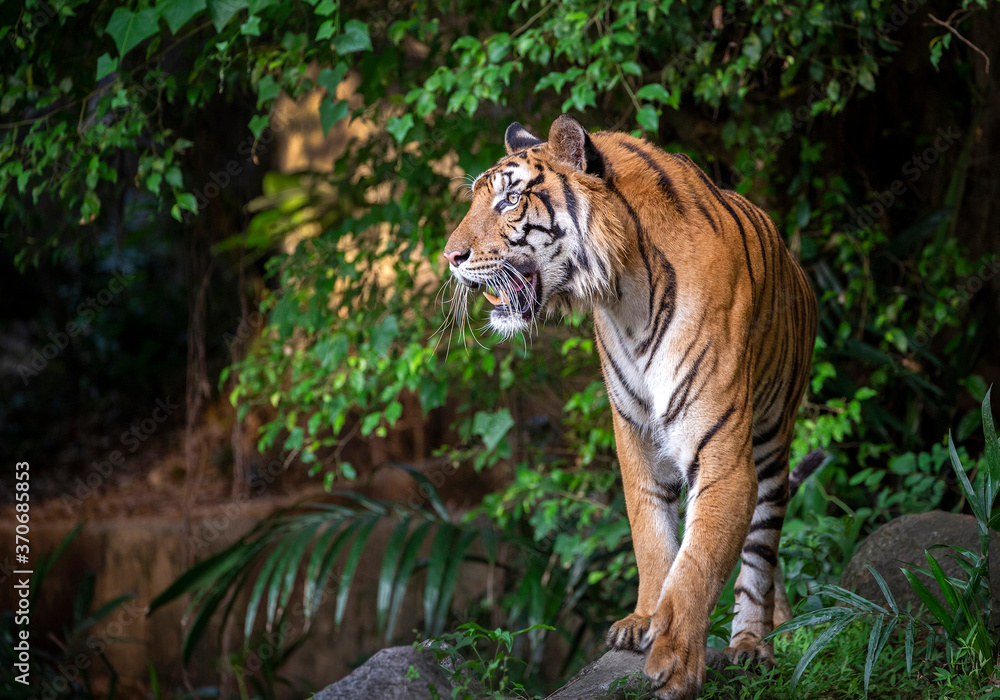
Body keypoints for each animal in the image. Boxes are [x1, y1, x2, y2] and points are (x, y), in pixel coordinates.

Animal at [443, 114, 820, 699]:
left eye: (510, 200)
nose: (450, 257)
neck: (625, 293)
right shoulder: (635, 431)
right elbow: (651, 532)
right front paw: (642, 622)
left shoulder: (721, 448)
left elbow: (700, 559)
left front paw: (675, 660)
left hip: (772, 440)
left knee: (761, 547)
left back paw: (753, 643)